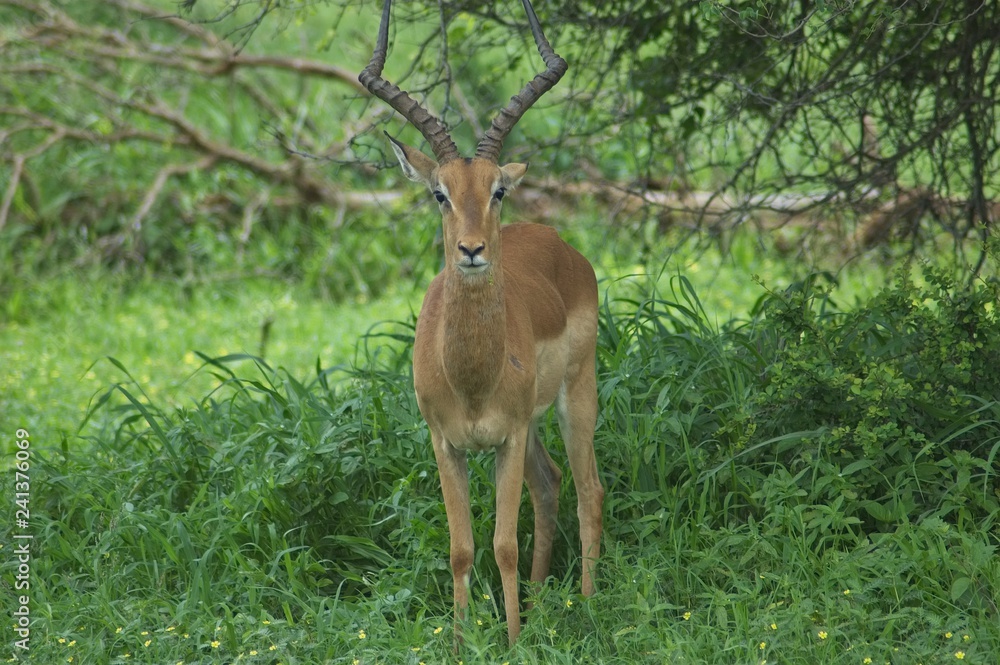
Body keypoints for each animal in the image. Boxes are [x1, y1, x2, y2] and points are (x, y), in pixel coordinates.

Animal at [360, 0, 603, 644]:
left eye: (497, 190)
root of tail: (560, 245)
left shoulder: (506, 437)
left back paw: (588, 605)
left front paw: (514, 642)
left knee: (588, 491)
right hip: (535, 426)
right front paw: (463, 641)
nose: (472, 250)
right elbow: (462, 549)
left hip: (575, 397)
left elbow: (503, 545)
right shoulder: (448, 444)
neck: (470, 377)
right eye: (439, 193)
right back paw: (543, 603)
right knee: (550, 485)